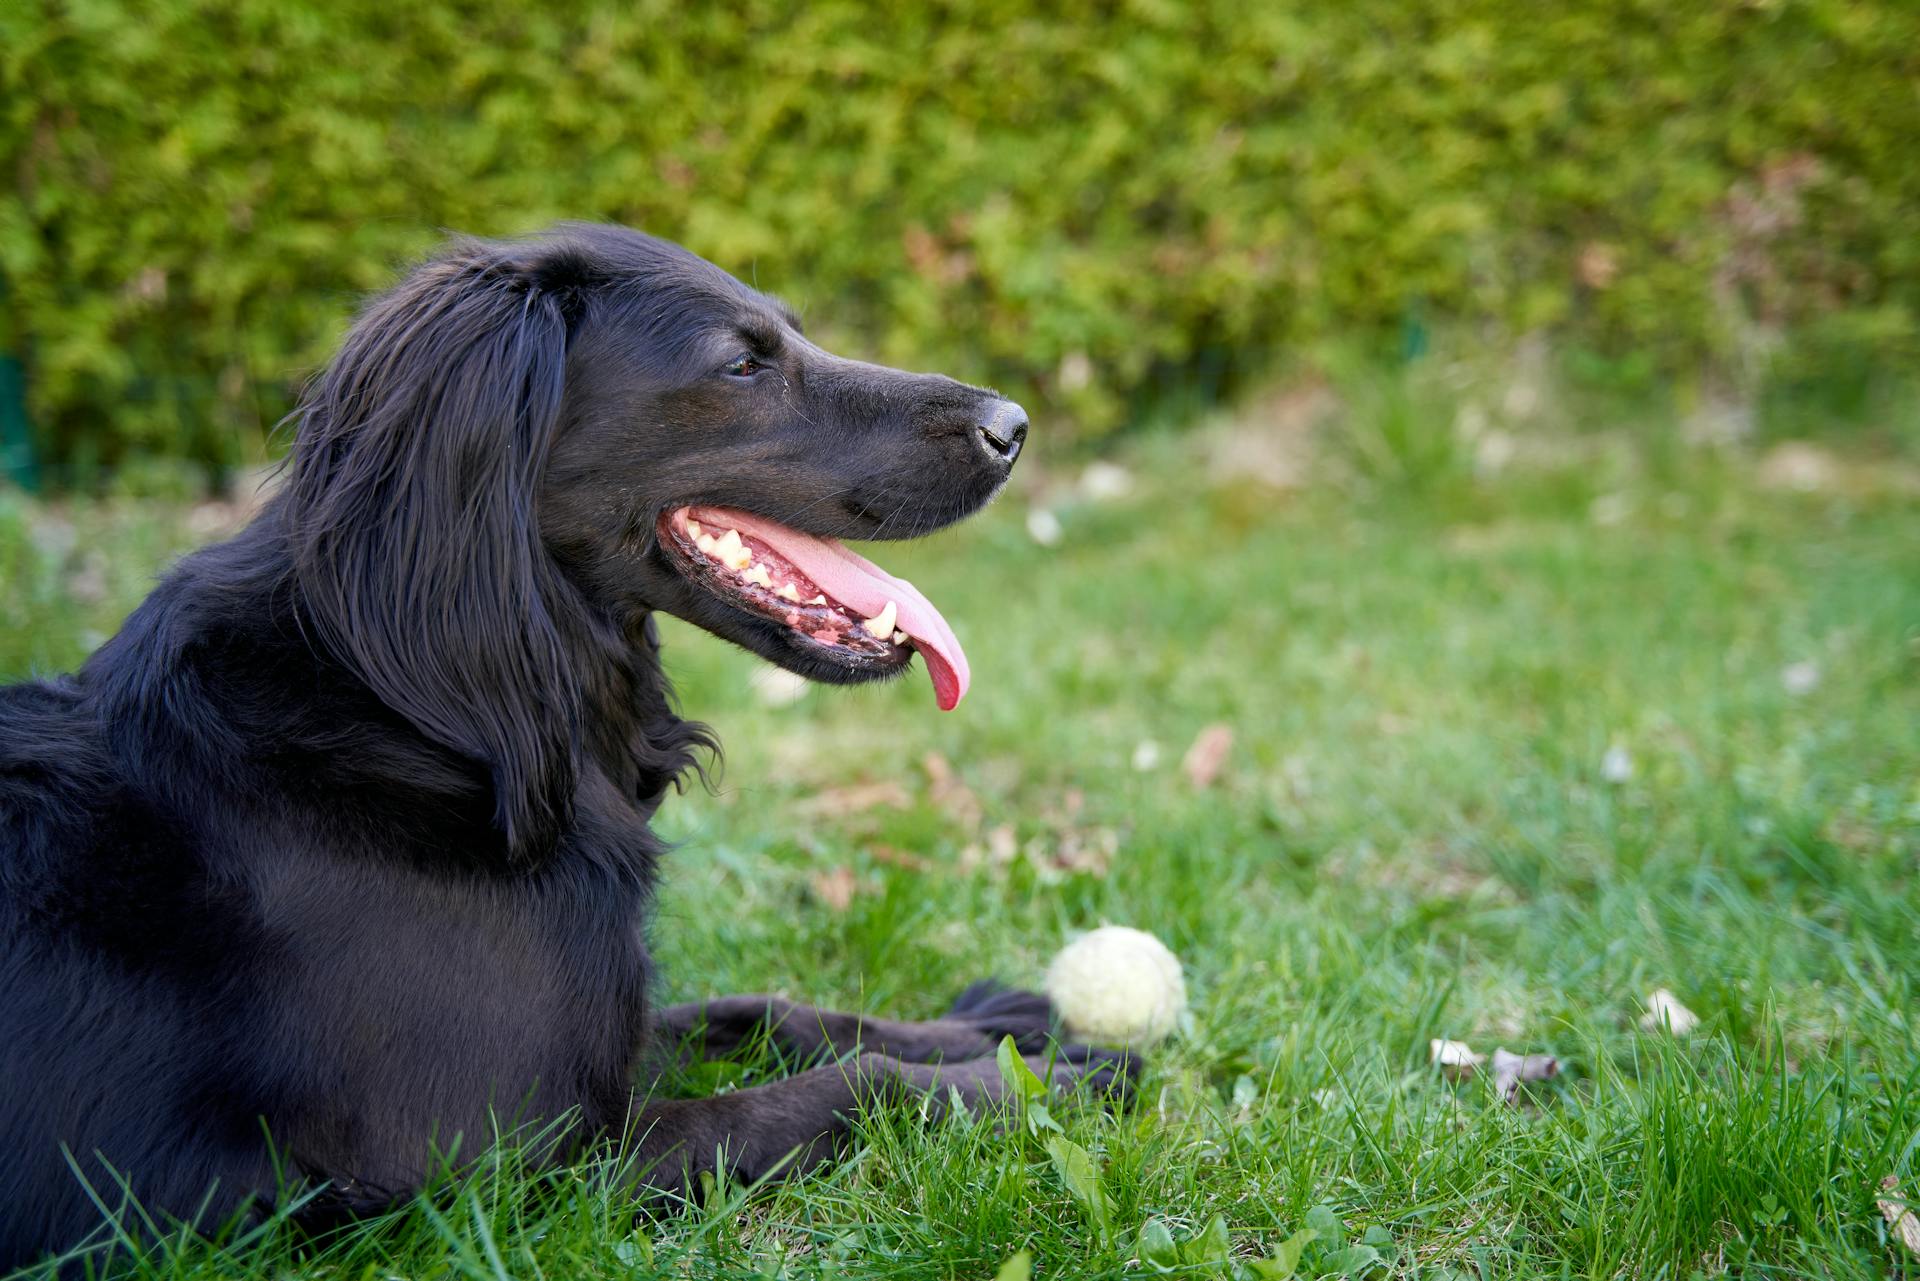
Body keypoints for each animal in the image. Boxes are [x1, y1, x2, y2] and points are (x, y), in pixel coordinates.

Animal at [0, 222, 1128, 1275]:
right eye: (741, 363)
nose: (1012, 426)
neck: (430, 716)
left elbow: (771, 1010)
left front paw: (994, 1026)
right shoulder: (497, 1180)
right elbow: (840, 1092)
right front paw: (1037, 1082)